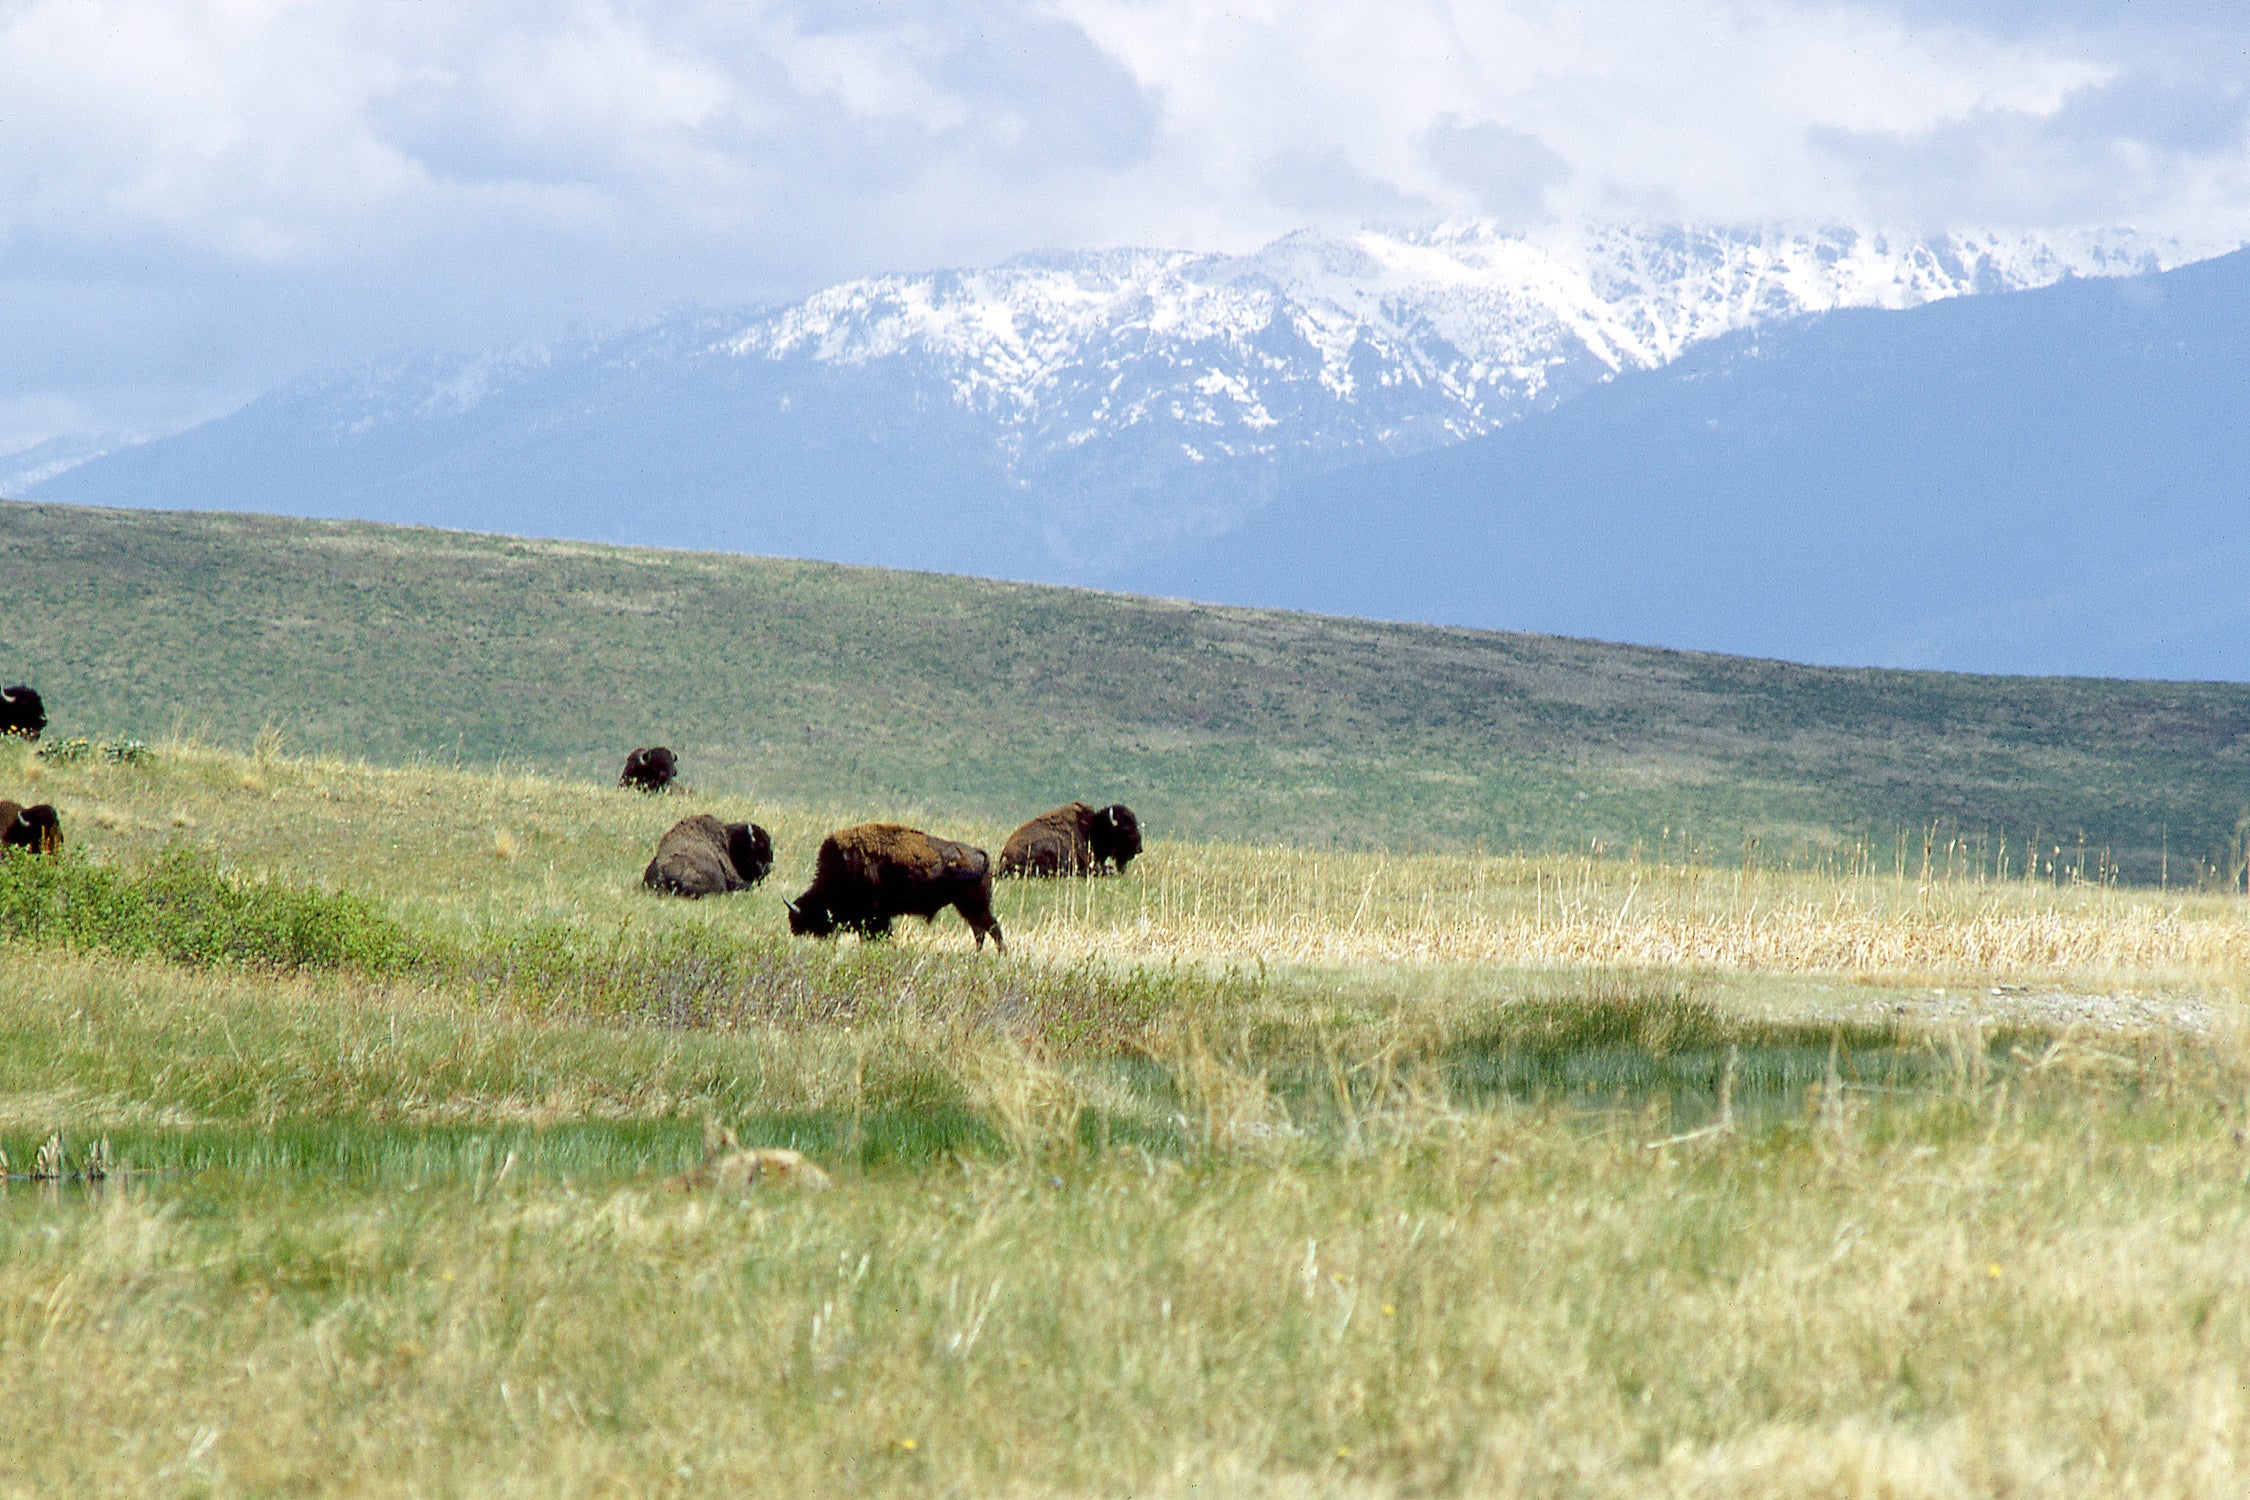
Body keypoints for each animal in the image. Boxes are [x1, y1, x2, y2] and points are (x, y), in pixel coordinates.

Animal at [787, 823, 1008, 949]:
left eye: (809, 913)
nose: (795, 932)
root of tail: (979, 853)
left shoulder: (875, 917)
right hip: (967, 907)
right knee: (981, 932)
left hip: (975, 906)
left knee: (992, 929)